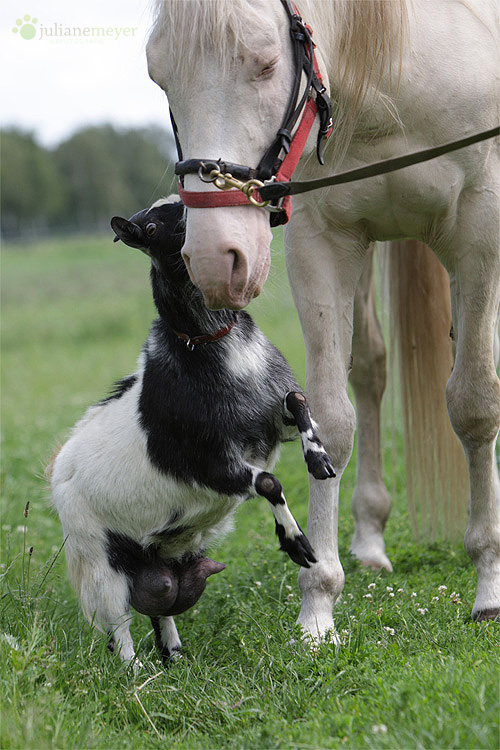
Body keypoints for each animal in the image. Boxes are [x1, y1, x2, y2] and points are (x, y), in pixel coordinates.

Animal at [48, 195, 334, 664]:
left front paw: (320, 459)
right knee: (118, 622)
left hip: (156, 554)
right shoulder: (212, 463)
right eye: (149, 228)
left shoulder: (269, 421)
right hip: (98, 558)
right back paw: (135, 671)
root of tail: (57, 468)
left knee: (159, 600)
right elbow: (270, 483)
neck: (211, 345)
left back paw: (174, 655)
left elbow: (298, 400)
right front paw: (296, 544)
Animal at [146, 0, 500, 640]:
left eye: (264, 63)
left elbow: (475, 403)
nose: (213, 259)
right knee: (372, 369)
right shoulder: (322, 240)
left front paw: (488, 584)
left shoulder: (480, 228)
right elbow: (330, 421)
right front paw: (318, 606)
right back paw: (369, 538)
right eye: (160, 77)